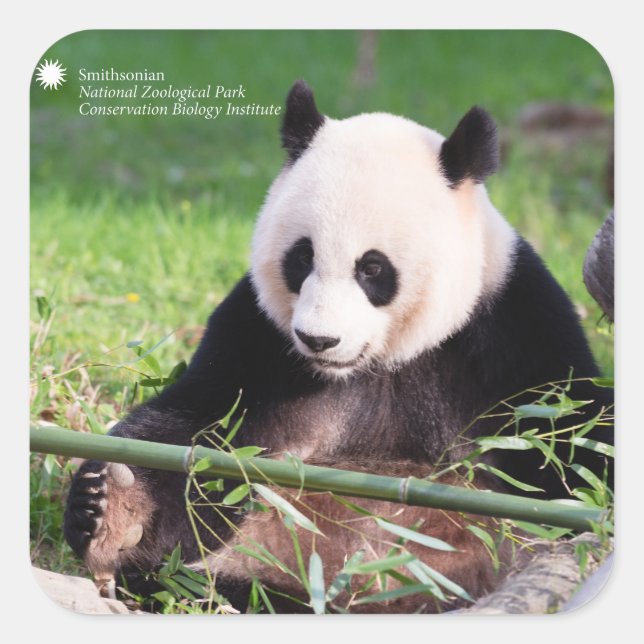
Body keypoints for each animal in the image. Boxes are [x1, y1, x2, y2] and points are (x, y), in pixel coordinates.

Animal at [63, 80, 613, 613]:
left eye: (372, 267)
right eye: (302, 257)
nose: (318, 339)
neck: (377, 362)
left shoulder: (510, 331)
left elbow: (572, 442)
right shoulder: (259, 339)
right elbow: (199, 430)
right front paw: (112, 512)